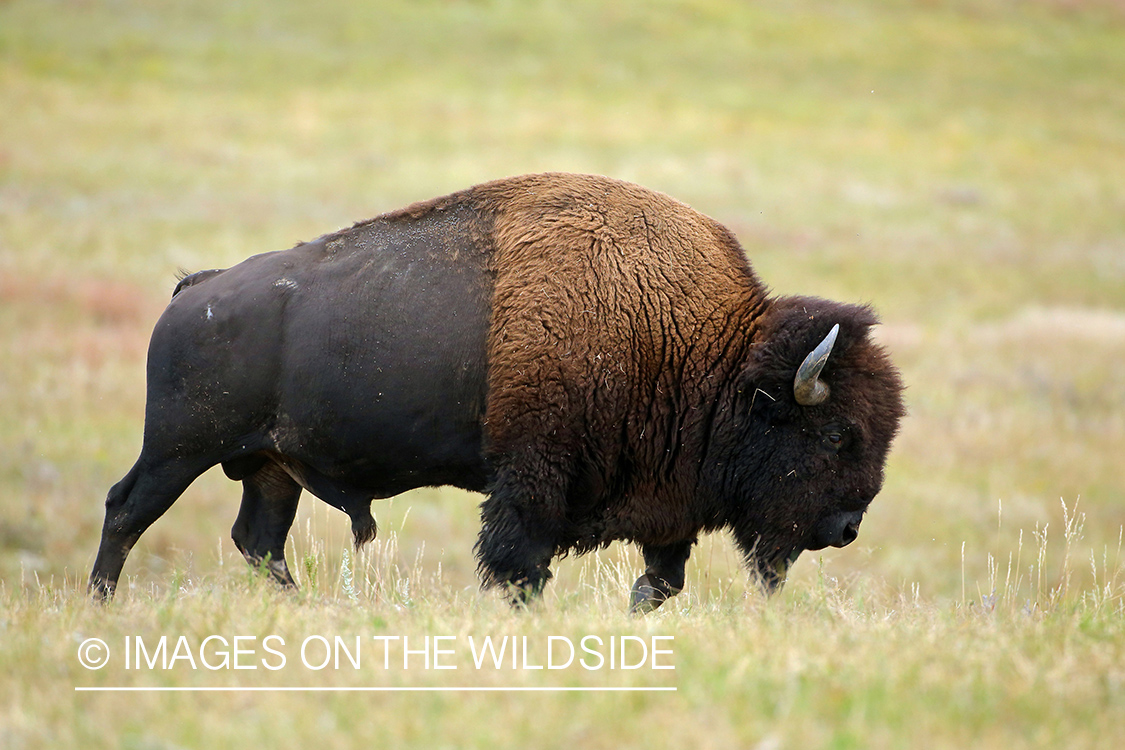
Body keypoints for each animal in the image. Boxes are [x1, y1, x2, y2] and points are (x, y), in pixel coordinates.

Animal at [92, 173, 909, 611]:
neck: (697, 346)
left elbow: (659, 582)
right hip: (179, 448)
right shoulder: (533, 479)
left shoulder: (664, 501)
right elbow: (520, 565)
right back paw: (99, 608)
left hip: (270, 466)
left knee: (258, 540)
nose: (846, 527)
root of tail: (196, 290)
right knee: (127, 510)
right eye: (837, 434)